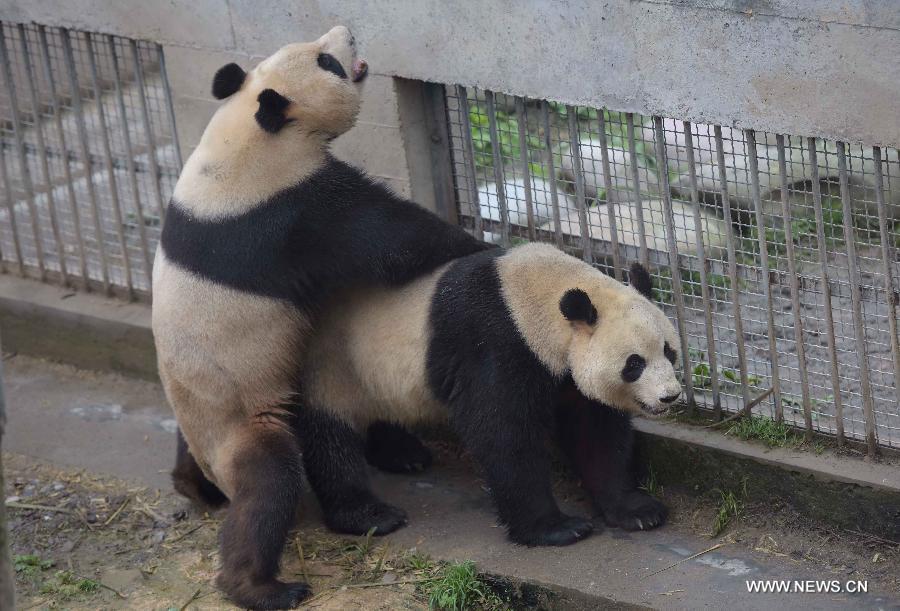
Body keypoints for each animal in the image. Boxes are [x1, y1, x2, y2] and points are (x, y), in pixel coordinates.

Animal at [153, 26, 492, 608]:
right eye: (327, 62)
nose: (347, 32)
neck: (245, 133)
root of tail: (214, 465)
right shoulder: (289, 210)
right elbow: (392, 241)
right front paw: (479, 245)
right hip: (245, 418)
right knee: (270, 485)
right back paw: (264, 584)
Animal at [298, 245, 684, 548]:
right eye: (634, 364)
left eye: (670, 352)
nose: (670, 397)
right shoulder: (494, 345)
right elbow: (503, 434)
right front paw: (556, 528)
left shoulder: (564, 371)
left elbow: (596, 434)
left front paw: (636, 511)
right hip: (333, 366)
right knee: (329, 438)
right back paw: (370, 515)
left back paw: (403, 454)